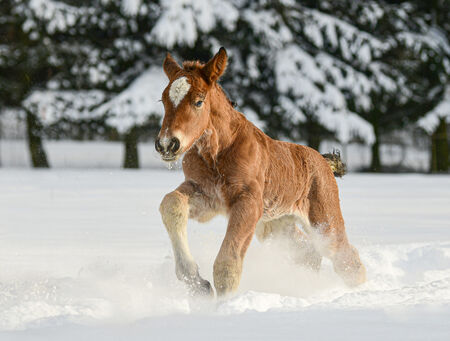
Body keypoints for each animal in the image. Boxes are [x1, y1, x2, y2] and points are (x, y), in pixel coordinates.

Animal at [155, 46, 366, 296]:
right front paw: (197, 283)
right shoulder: (206, 196)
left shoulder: (249, 202)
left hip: (324, 224)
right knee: (308, 252)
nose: (167, 144)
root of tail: (323, 162)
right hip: (276, 226)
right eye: (163, 100)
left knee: (346, 259)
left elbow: (227, 264)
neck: (217, 154)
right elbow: (171, 203)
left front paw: (224, 302)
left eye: (198, 102)